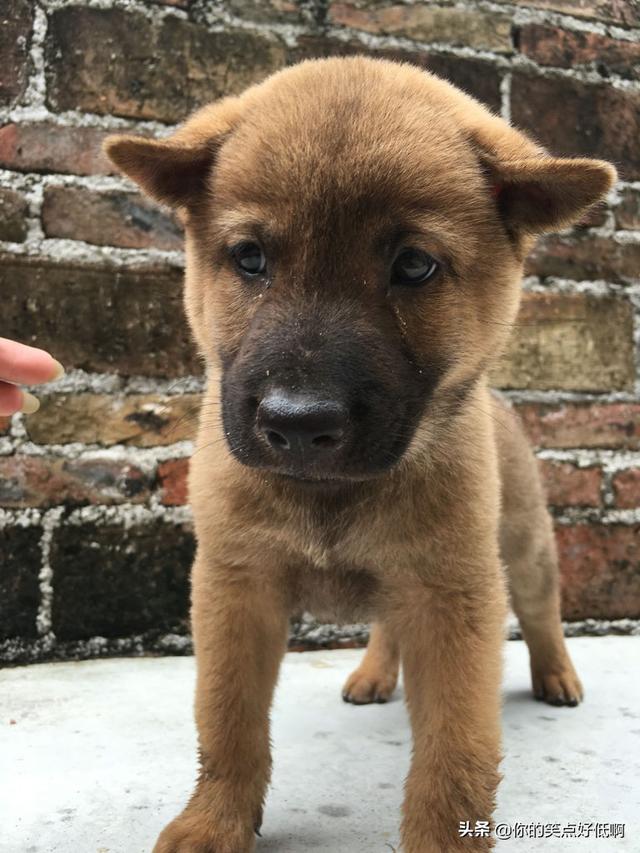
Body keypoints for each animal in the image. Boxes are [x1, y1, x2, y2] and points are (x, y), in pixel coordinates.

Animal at [105, 56, 616, 848]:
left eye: (413, 266)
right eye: (249, 257)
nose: (298, 424)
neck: (330, 493)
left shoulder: (451, 595)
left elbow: (456, 750)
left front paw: (444, 837)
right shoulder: (236, 588)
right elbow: (227, 721)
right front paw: (215, 819)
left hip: (525, 548)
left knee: (541, 612)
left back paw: (557, 674)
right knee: (387, 627)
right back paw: (374, 672)